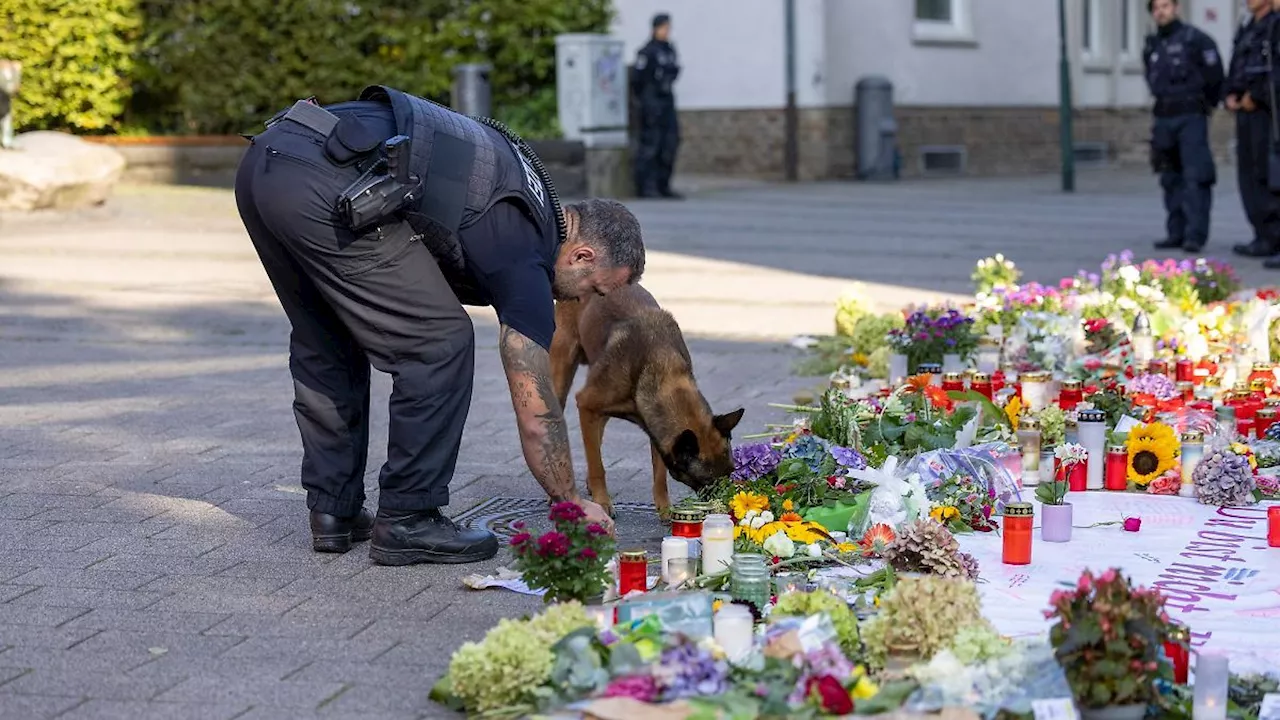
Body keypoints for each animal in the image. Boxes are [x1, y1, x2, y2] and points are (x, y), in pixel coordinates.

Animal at [552, 283, 747, 517]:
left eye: (731, 472)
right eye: (708, 482)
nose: (728, 509)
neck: (661, 368)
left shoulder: (656, 430)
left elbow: (659, 473)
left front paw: (665, 508)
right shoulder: (586, 404)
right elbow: (597, 465)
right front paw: (602, 501)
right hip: (562, 374)